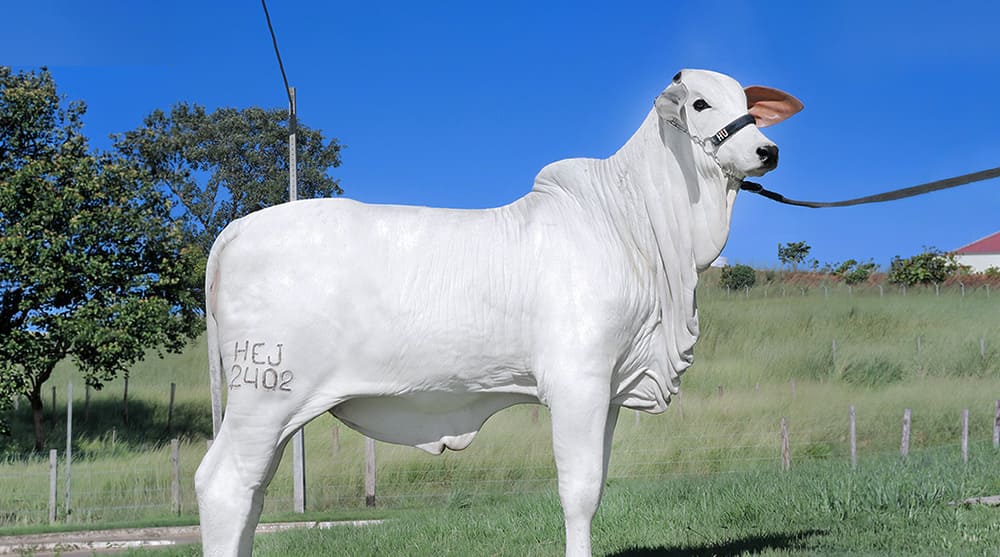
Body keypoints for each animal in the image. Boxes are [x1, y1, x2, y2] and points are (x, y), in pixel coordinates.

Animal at [194, 69, 802, 557]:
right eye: (700, 103)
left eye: (746, 103)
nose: (767, 152)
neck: (640, 228)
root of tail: (236, 228)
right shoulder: (577, 381)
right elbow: (579, 491)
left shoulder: (609, 388)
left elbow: (597, 485)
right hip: (265, 395)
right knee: (225, 485)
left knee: (252, 492)